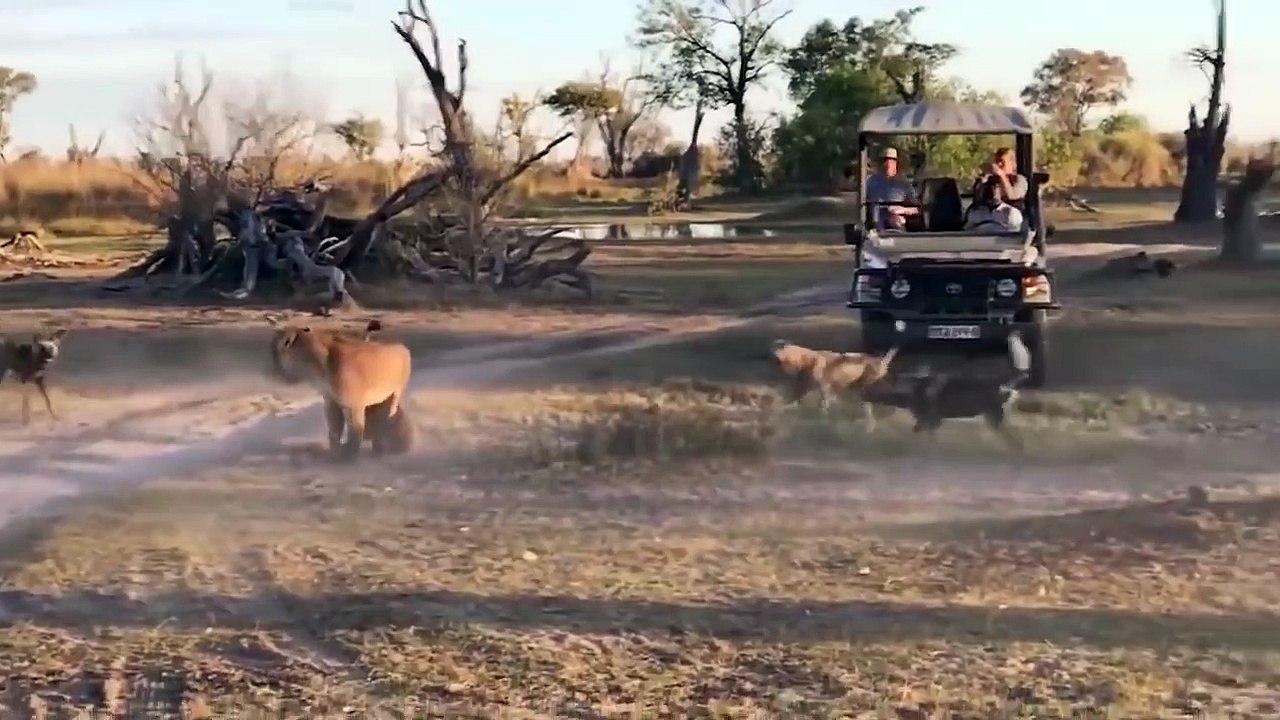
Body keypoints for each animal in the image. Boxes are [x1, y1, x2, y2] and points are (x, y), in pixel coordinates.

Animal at [269, 318, 412, 461]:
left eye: (284, 342)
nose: (273, 366)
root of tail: (403, 347)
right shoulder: (332, 402)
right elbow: (334, 431)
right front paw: (336, 452)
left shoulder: (353, 405)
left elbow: (355, 432)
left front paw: (348, 456)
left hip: (395, 396)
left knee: (388, 417)